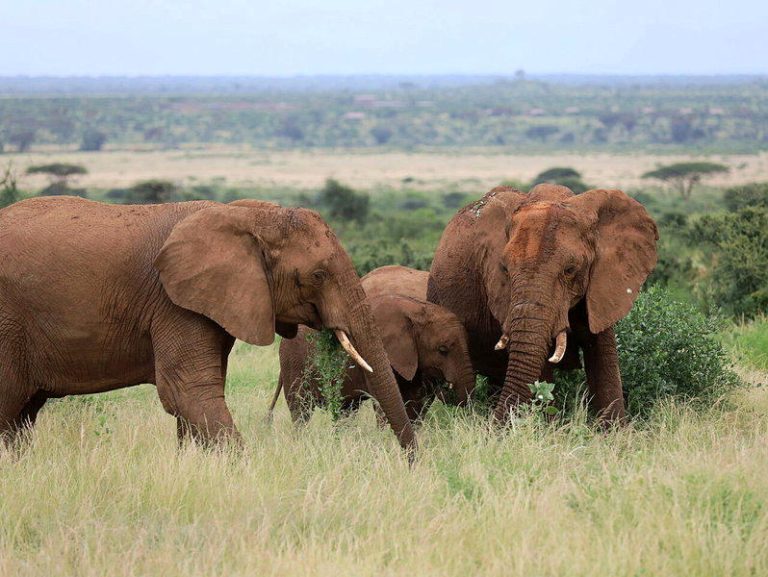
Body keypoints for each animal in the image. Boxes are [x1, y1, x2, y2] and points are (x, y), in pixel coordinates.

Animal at [0, 196, 415, 451]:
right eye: (317, 275)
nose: (413, 462)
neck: (245, 215)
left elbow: (191, 403)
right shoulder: (173, 303)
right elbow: (188, 393)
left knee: (22, 418)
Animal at [271, 265, 475, 424]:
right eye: (442, 350)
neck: (416, 310)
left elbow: (415, 404)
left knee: (345, 410)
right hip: (293, 362)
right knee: (301, 410)